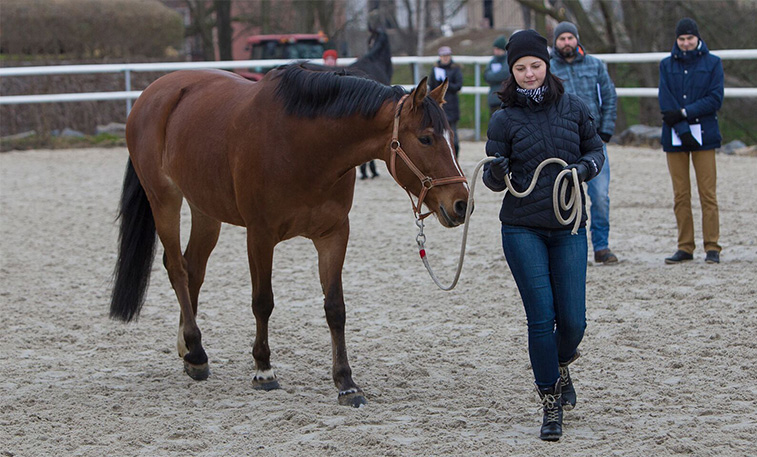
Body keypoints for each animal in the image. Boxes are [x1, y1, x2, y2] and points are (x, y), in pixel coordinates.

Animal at [110, 64, 470, 406]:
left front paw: (346, 383)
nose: (462, 203)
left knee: (193, 269)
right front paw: (263, 370)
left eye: (450, 136)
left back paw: (188, 349)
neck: (303, 146)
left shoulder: (334, 235)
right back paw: (197, 352)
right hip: (164, 200)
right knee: (177, 268)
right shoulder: (259, 235)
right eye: (425, 138)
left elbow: (335, 308)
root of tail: (153, 93)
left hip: (205, 209)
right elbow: (262, 302)